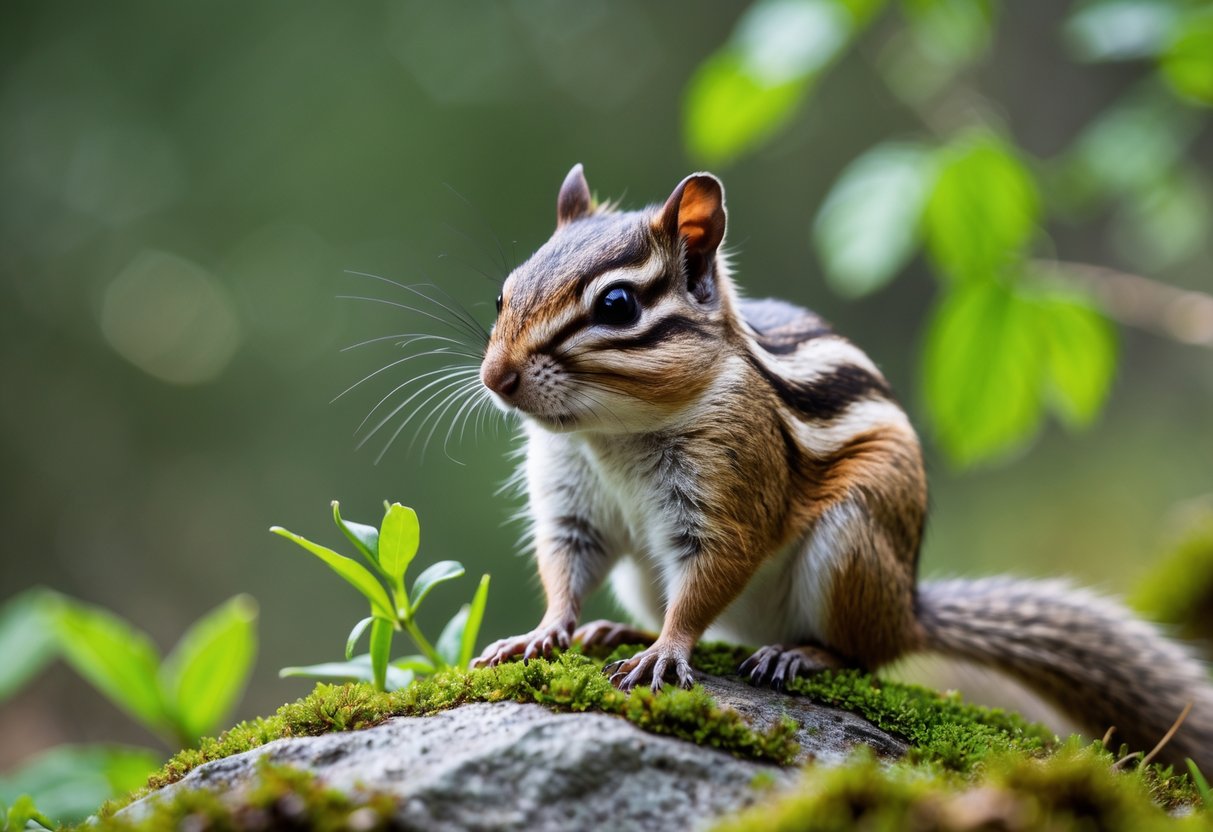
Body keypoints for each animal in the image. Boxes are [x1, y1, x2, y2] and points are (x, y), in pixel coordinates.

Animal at [471, 163, 1213, 770]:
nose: (495, 376)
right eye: (503, 295)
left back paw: (795, 653)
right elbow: (565, 567)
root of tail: (909, 608)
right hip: (647, 577)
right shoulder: (570, 501)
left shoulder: (731, 487)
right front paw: (542, 633)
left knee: (863, 654)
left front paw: (665, 652)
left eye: (617, 305)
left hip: (851, 542)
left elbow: (711, 576)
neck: (611, 436)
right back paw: (621, 629)